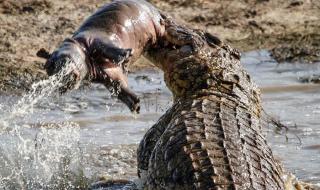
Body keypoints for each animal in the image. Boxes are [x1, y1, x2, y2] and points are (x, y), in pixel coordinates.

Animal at [37, 0, 165, 112]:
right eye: (47, 67)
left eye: (50, 64)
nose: (59, 83)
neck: (78, 45)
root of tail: (155, 8)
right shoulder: (105, 73)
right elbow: (119, 86)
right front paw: (135, 105)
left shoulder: (95, 39)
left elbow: (106, 47)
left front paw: (127, 55)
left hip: (156, 25)